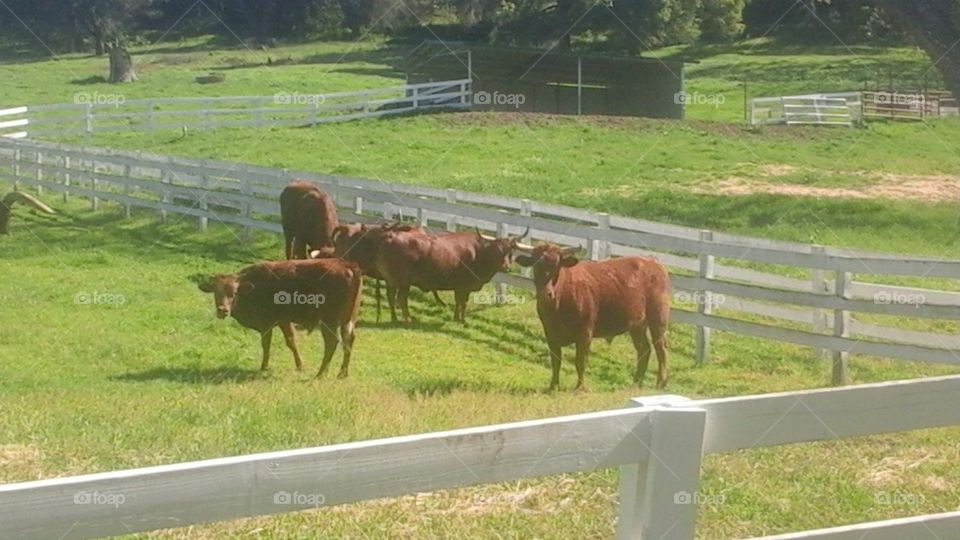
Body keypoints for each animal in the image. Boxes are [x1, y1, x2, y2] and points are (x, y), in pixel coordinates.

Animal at [194, 258, 362, 378]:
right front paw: (300, 366)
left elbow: (268, 344)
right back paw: (342, 373)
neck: (253, 286)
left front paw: (264, 366)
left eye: (233, 293)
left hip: (330, 320)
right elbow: (291, 342)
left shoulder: (268, 323)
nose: (223, 310)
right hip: (348, 320)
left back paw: (321, 374)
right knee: (349, 341)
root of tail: (348, 265)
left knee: (332, 342)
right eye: (216, 292)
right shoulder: (284, 321)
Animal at [375, 226, 529, 324]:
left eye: (510, 251)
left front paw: (456, 318)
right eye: (497, 251)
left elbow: (458, 302)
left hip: (391, 280)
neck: (477, 253)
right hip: (403, 281)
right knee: (401, 299)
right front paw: (463, 321)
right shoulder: (464, 286)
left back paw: (394, 318)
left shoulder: (459, 287)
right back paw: (407, 319)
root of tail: (391, 236)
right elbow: (463, 303)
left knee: (391, 297)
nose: (506, 267)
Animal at [515, 243, 670, 392]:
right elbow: (556, 362)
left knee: (661, 349)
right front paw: (553, 386)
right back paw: (636, 383)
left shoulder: (585, 334)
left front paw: (580, 387)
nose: (546, 294)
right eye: (535, 266)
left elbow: (580, 362)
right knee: (644, 349)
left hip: (658, 319)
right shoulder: (550, 334)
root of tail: (654, 263)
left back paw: (660, 382)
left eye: (556, 266)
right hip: (637, 325)